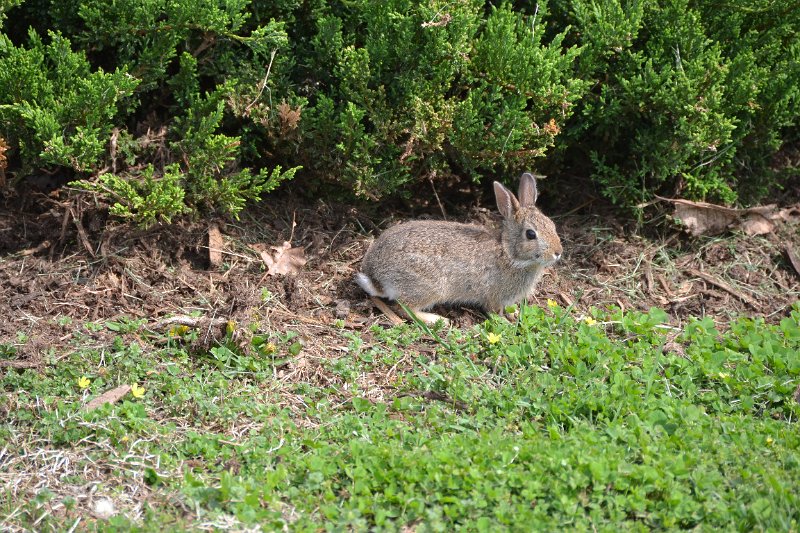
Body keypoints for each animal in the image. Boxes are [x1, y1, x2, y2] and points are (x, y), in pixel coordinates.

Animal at [355, 172, 562, 324]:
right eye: (530, 234)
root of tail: (375, 277)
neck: (509, 253)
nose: (558, 252)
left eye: (552, 225)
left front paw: (514, 314)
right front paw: (505, 322)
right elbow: (494, 311)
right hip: (428, 287)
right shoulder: (494, 295)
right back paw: (436, 319)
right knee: (403, 308)